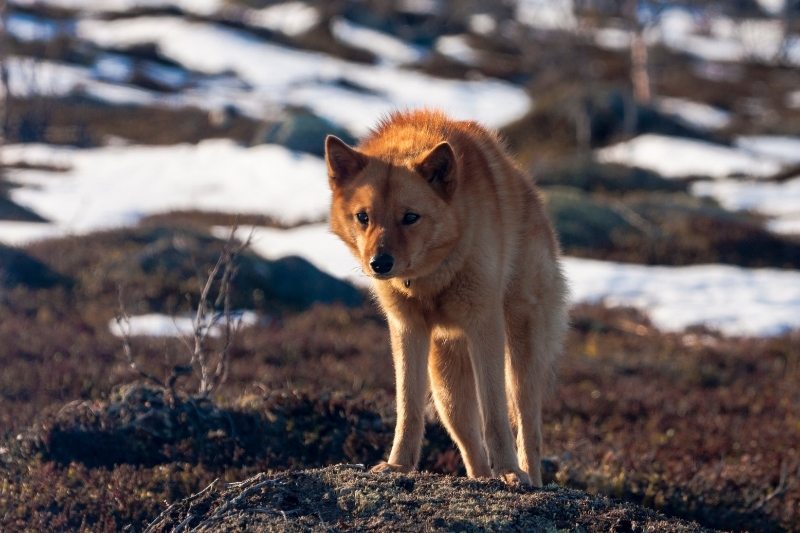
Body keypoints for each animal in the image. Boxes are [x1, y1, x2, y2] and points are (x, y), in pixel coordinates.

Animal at [322, 109, 564, 486]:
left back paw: (526, 478)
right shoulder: (407, 329)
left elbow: (495, 417)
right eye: (363, 217)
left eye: (410, 217)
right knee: (470, 444)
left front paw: (509, 471)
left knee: (528, 429)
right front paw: (398, 466)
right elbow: (408, 410)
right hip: (447, 388)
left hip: (520, 359)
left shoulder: (484, 326)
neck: (430, 280)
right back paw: (482, 479)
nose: (379, 263)